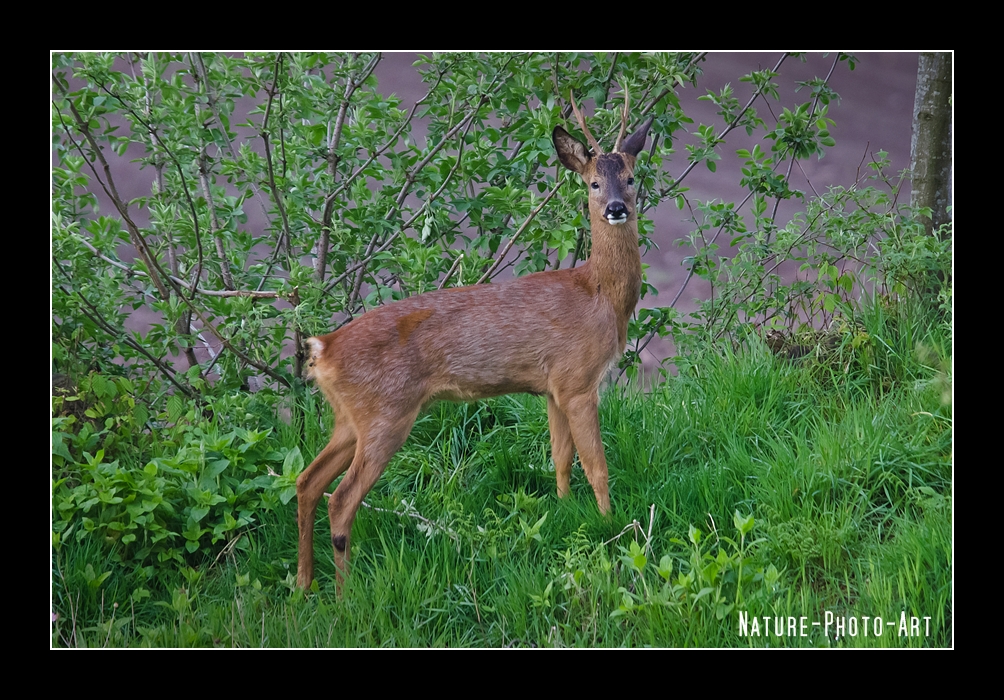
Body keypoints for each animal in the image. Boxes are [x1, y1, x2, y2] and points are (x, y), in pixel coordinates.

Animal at [293, 98, 654, 590]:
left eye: (632, 178)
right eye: (594, 182)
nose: (617, 208)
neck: (600, 295)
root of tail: (322, 348)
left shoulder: (554, 386)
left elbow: (560, 459)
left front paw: (565, 513)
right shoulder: (580, 380)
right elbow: (596, 465)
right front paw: (611, 524)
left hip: (350, 418)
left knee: (306, 481)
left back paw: (303, 584)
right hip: (386, 414)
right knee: (341, 497)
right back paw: (345, 594)